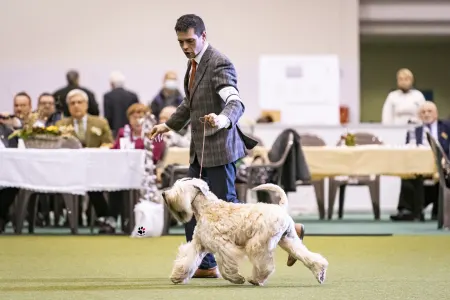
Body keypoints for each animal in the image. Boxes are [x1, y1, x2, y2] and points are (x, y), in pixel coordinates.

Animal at [162, 178, 326, 286]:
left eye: (179, 189)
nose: (164, 193)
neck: (207, 209)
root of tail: (281, 209)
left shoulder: (223, 246)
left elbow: (226, 266)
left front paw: (236, 278)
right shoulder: (198, 245)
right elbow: (187, 260)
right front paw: (177, 276)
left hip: (258, 244)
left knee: (265, 265)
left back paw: (256, 279)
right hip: (288, 240)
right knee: (308, 256)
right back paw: (320, 272)